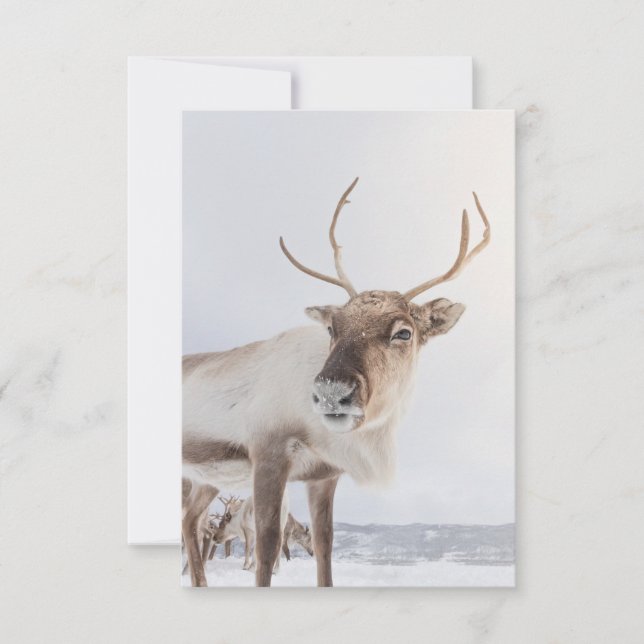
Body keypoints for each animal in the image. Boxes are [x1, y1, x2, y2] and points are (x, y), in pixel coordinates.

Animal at [182, 177, 490, 587]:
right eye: (332, 327)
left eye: (404, 332)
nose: (332, 393)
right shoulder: (268, 452)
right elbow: (267, 545)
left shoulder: (324, 475)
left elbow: (325, 545)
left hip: (206, 478)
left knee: (190, 520)